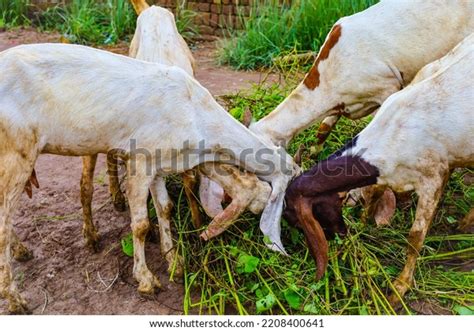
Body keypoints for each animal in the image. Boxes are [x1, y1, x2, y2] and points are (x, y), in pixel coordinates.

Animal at [0, 43, 296, 314]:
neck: (194, 113)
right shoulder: (139, 162)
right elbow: (141, 225)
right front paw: (146, 280)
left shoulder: (158, 163)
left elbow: (165, 208)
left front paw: (174, 262)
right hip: (17, 153)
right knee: (4, 221)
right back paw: (16, 301)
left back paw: (22, 252)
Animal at [284, 33, 472, 304]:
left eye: (296, 219)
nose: (340, 234)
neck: (393, 131)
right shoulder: (387, 174)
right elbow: (372, 195)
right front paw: (362, 226)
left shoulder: (431, 181)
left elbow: (415, 238)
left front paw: (400, 287)